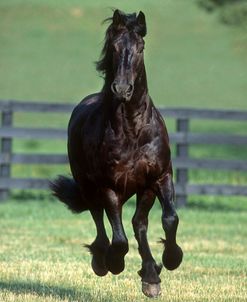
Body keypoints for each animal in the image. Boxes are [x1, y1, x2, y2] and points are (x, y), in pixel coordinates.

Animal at [50, 9, 181, 298]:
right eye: (114, 47)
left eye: (141, 47)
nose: (122, 89)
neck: (133, 130)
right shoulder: (110, 185)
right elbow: (119, 240)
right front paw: (114, 262)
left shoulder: (160, 176)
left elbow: (169, 218)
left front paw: (171, 259)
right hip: (89, 185)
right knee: (99, 218)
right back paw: (102, 260)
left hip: (143, 189)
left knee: (138, 223)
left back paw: (151, 275)